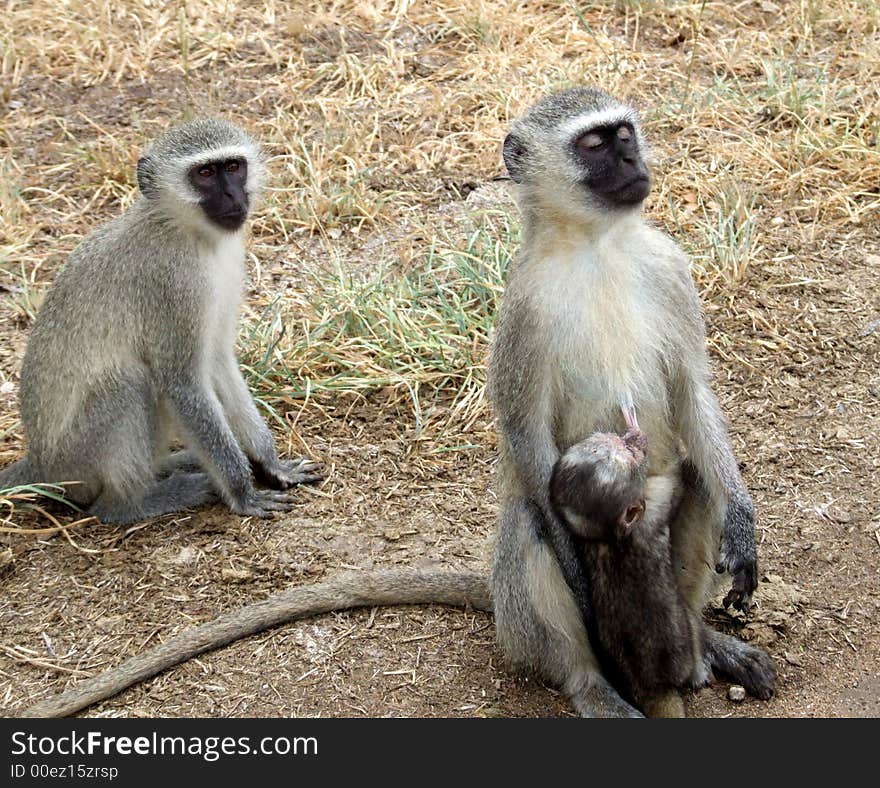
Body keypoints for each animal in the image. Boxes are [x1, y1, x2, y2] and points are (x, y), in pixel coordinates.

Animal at [0, 118, 322, 524]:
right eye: (204, 174)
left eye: (233, 167)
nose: (233, 196)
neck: (185, 232)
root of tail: (41, 462)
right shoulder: (172, 283)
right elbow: (181, 381)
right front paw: (242, 492)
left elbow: (218, 361)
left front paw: (271, 464)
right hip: (77, 458)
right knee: (129, 382)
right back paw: (133, 503)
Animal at [552, 422, 716, 716]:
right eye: (630, 457)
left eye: (609, 441)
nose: (632, 437)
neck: (608, 537)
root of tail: (652, 685)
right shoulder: (651, 504)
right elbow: (674, 487)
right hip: (683, 641)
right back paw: (700, 672)